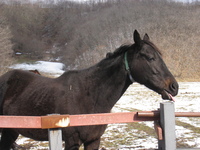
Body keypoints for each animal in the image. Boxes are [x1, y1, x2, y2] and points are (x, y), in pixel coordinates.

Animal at [0, 29, 178, 149]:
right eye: (150, 57)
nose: (174, 86)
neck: (90, 96)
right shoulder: (72, 141)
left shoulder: (93, 140)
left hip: (11, 131)